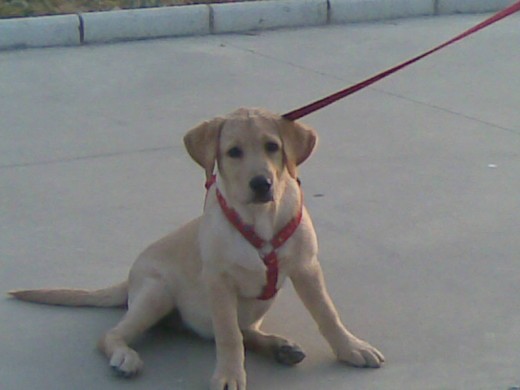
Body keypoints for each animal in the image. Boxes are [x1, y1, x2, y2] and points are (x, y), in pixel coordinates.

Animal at [7, 107, 382, 390]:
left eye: (272, 146)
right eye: (233, 152)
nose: (261, 184)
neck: (259, 220)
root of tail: (128, 280)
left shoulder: (306, 267)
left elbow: (327, 313)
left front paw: (351, 347)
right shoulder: (219, 281)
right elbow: (228, 336)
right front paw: (229, 375)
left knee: (244, 330)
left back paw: (279, 346)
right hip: (157, 293)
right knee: (111, 335)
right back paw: (124, 357)